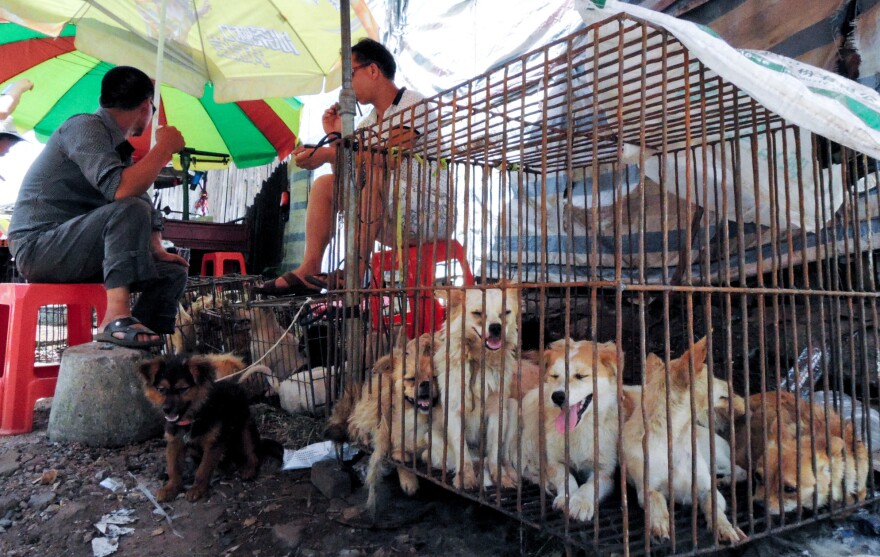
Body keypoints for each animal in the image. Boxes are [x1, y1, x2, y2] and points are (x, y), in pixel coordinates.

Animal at [620, 334, 748, 544]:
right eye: (709, 374)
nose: (730, 385)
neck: (671, 438)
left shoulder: (704, 489)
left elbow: (714, 506)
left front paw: (726, 528)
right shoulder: (647, 489)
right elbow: (656, 500)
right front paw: (660, 525)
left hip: (717, 460)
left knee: (740, 470)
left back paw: (724, 481)